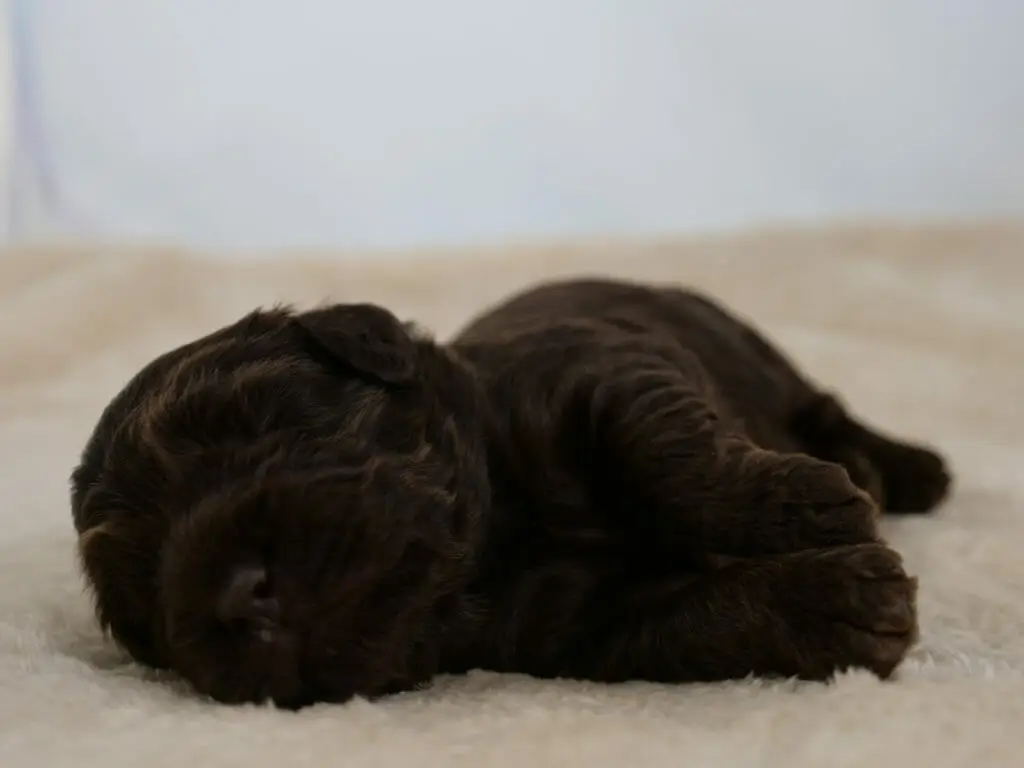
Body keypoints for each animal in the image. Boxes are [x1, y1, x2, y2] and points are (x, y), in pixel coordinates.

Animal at [72, 276, 950, 708]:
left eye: (254, 418)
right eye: (141, 609)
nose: (233, 598)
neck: (496, 539)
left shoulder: (601, 366)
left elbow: (670, 450)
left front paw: (809, 502)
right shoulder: (590, 625)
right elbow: (706, 616)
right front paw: (844, 604)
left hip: (754, 350)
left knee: (827, 408)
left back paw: (899, 470)